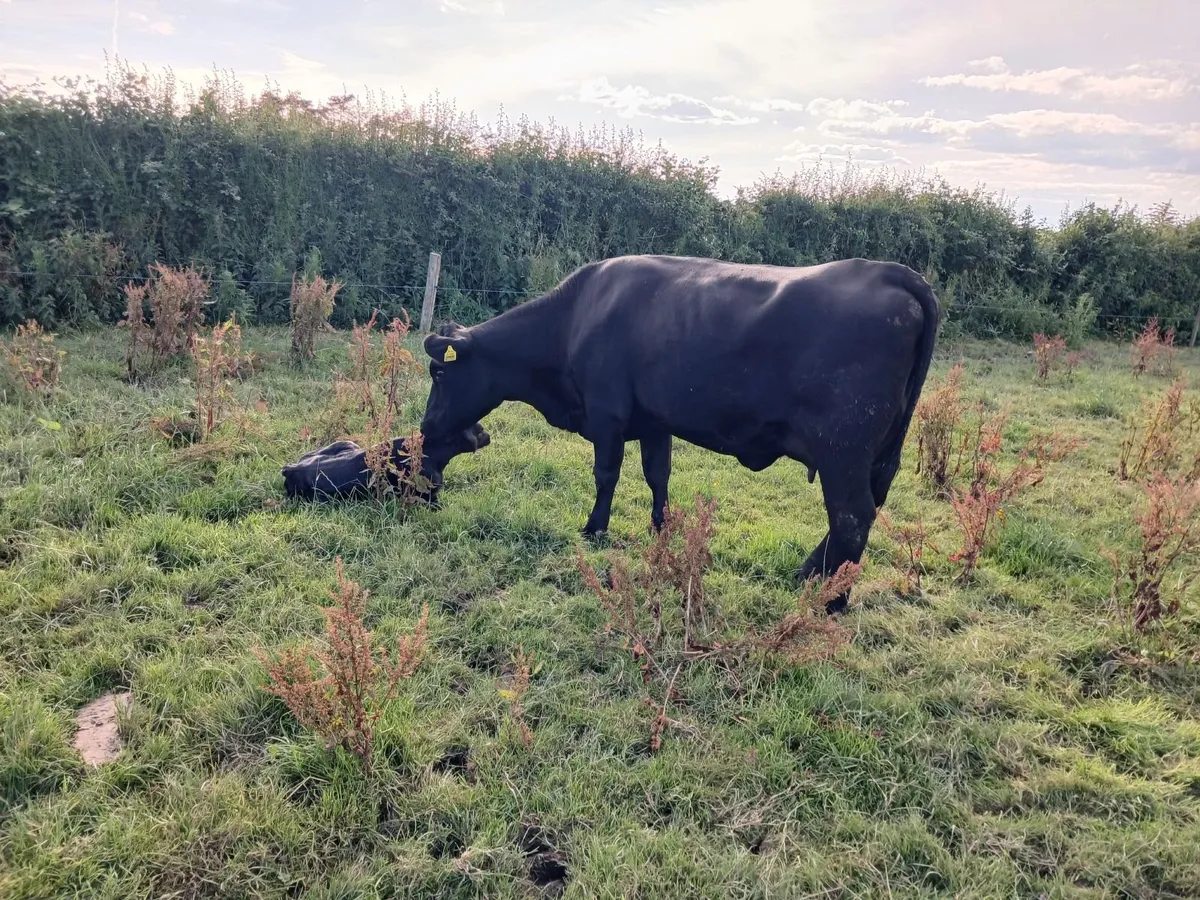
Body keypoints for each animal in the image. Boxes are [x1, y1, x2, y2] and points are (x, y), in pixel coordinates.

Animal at [419, 254, 941, 613]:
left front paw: (594, 527)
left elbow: (606, 475)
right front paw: (661, 528)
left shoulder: (607, 416)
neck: (576, 318)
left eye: (439, 375)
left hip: (842, 451)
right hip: (873, 457)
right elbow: (658, 475)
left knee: (852, 517)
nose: (424, 428)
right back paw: (812, 574)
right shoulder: (655, 422)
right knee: (859, 516)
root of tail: (890, 273)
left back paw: (831, 599)